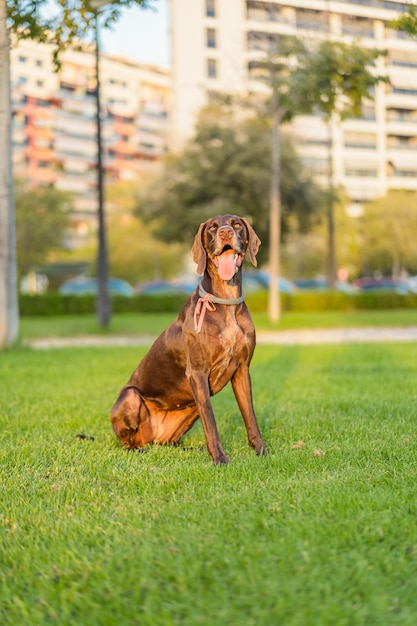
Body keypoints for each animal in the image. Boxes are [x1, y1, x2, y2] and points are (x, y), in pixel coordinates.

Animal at [109, 214, 266, 464]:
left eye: (237, 224)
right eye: (212, 228)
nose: (225, 232)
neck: (225, 302)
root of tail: (150, 438)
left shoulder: (242, 370)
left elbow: (250, 416)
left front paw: (261, 451)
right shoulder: (197, 373)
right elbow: (211, 422)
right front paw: (220, 459)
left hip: (191, 405)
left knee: (169, 443)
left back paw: (193, 450)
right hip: (132, 397)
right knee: (127, 443)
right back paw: (138, 450)